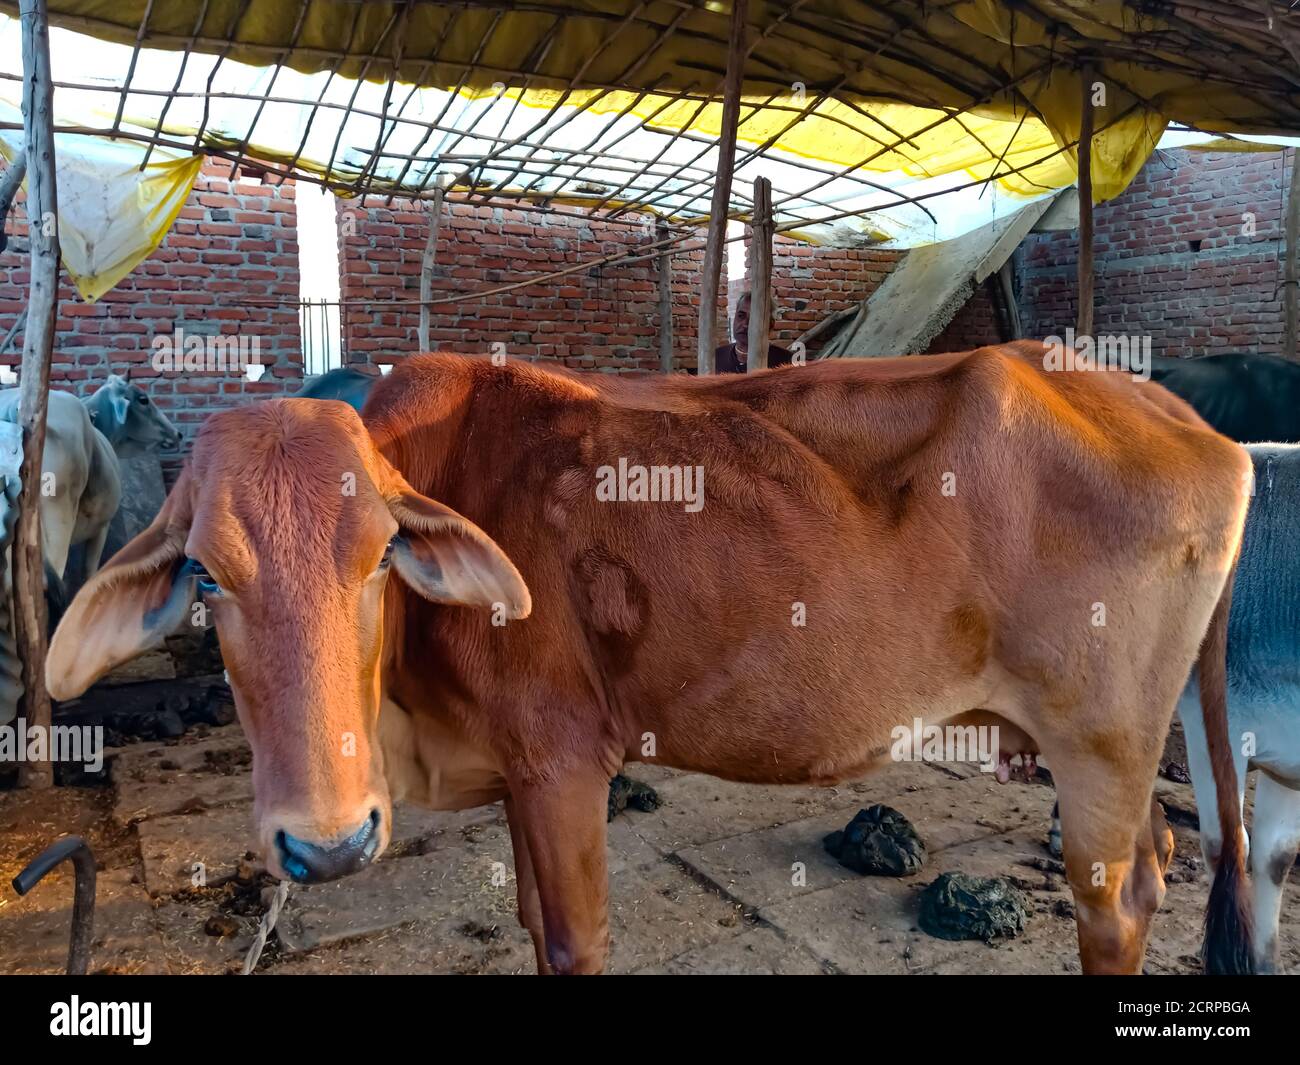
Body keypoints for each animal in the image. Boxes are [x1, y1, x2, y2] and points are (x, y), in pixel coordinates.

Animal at [45, 345, 1253, 977]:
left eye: (381, 554)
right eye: (204, 576)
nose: (327, 842)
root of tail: (1173, 407)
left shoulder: (564, 760)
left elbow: (576, 942)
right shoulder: (521, 782)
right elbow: (533, 928)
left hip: (1099, 745)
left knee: (1117, 907)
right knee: (1154, 863)